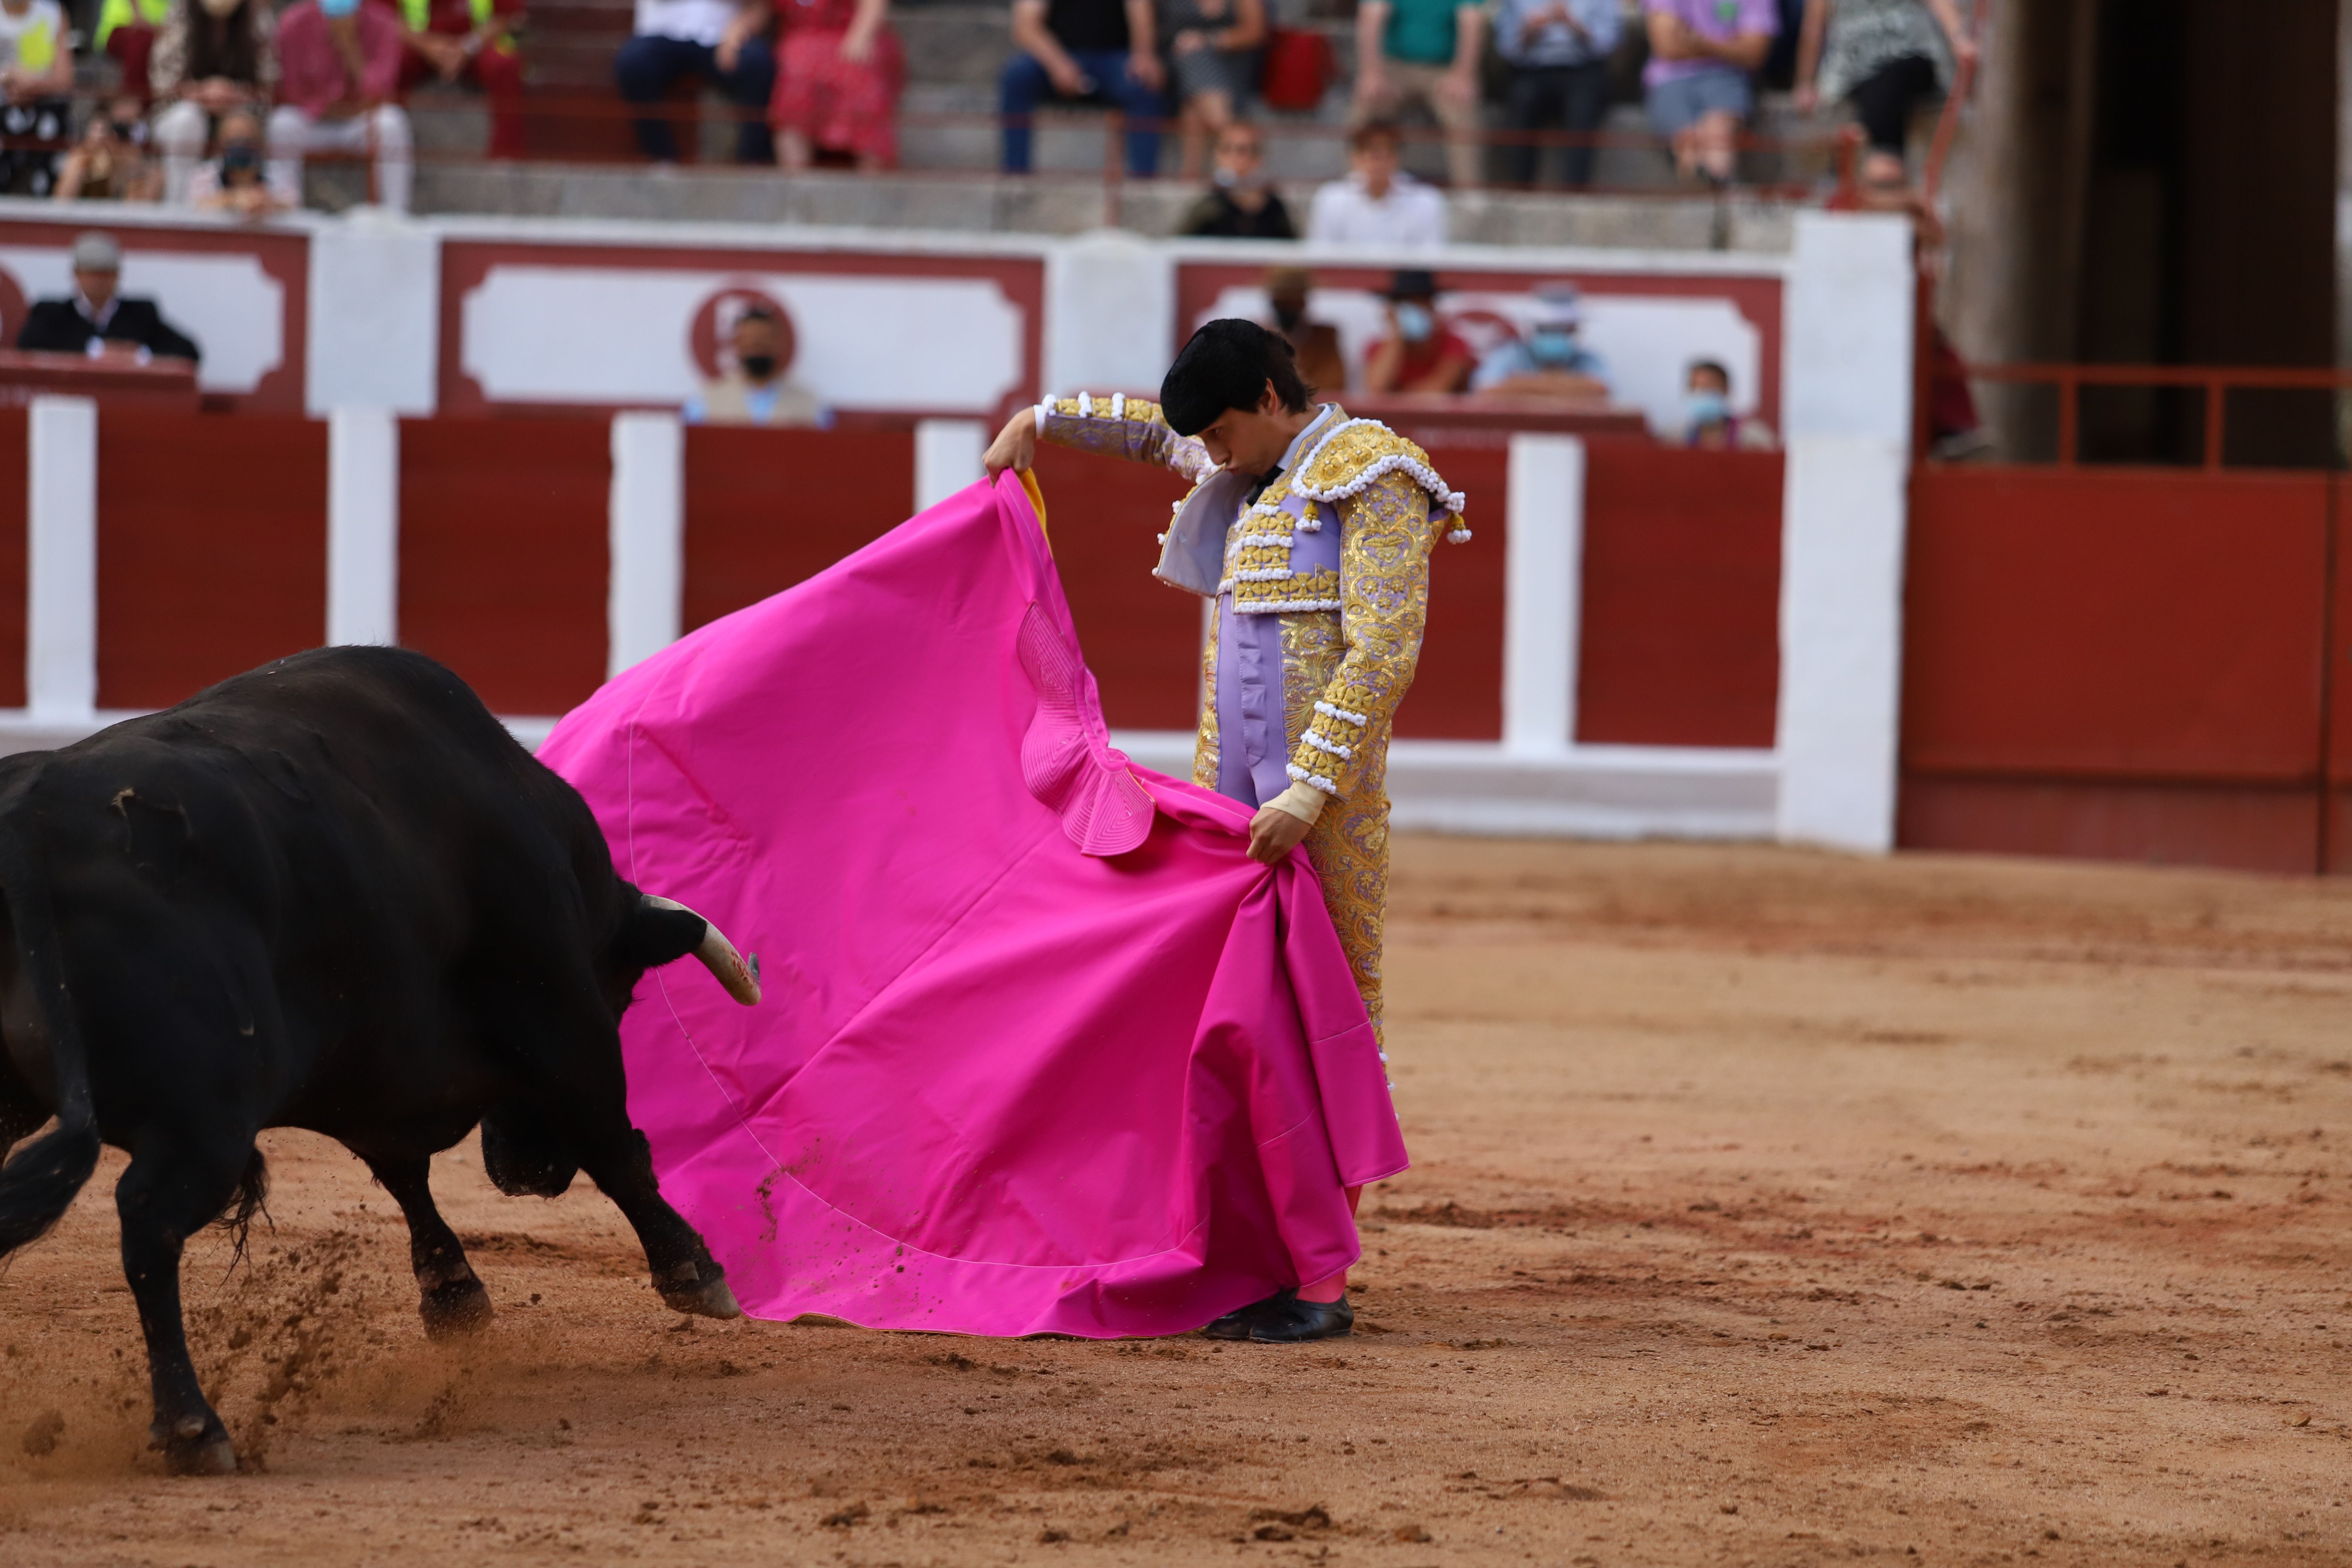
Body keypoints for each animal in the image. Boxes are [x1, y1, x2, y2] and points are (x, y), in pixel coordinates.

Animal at [0, 649, 762, 1476]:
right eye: (623, 993)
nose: (529, 1173)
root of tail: (27, 822)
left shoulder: (375, 1072)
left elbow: (403, 1173)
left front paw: (455, 1297)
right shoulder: (560, 1010)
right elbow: (613, 1144)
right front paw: (695, 1271)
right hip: (204, 1116)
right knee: (148, 1225)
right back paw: (193, 1428)